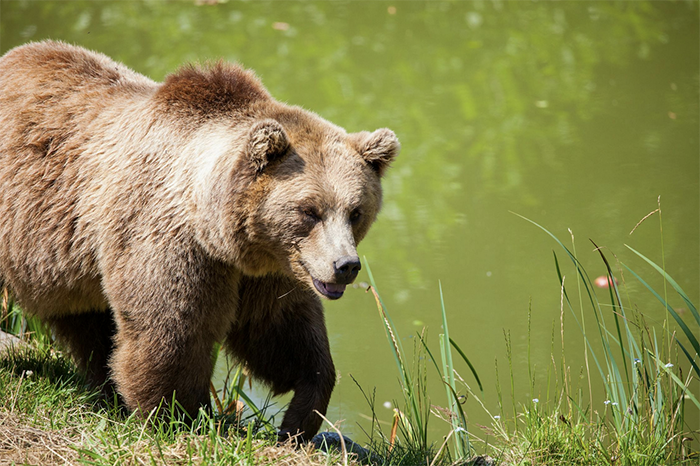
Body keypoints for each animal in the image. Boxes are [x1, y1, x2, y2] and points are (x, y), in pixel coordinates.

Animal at [0, 40, 399, 441]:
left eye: (355, 211)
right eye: (309, 211)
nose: (345, 265)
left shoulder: (269, 270)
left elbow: (281, 332)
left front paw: (300, 417)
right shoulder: (169, 240)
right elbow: (171, 331)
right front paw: (178, 416)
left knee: (85, 320)